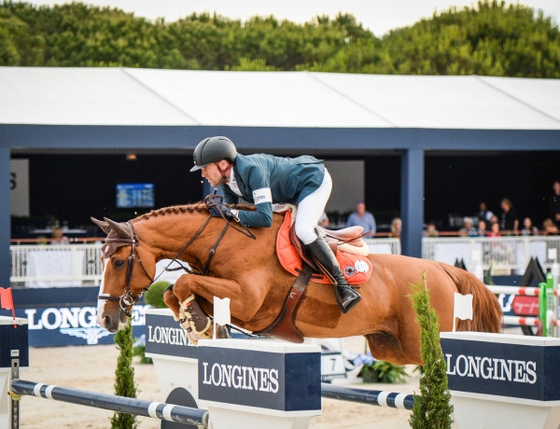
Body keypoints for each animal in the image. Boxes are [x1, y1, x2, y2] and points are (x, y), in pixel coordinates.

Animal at [92, 201, 504, 364]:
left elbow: (183, 284)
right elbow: (178, 291)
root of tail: (444, 270)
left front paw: (195, 324)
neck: (222, 241)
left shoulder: (248, 301)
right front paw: (199, 325)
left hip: (422, 343)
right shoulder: (223, 295)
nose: (106, 319)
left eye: (118, 261)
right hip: (391, 348)